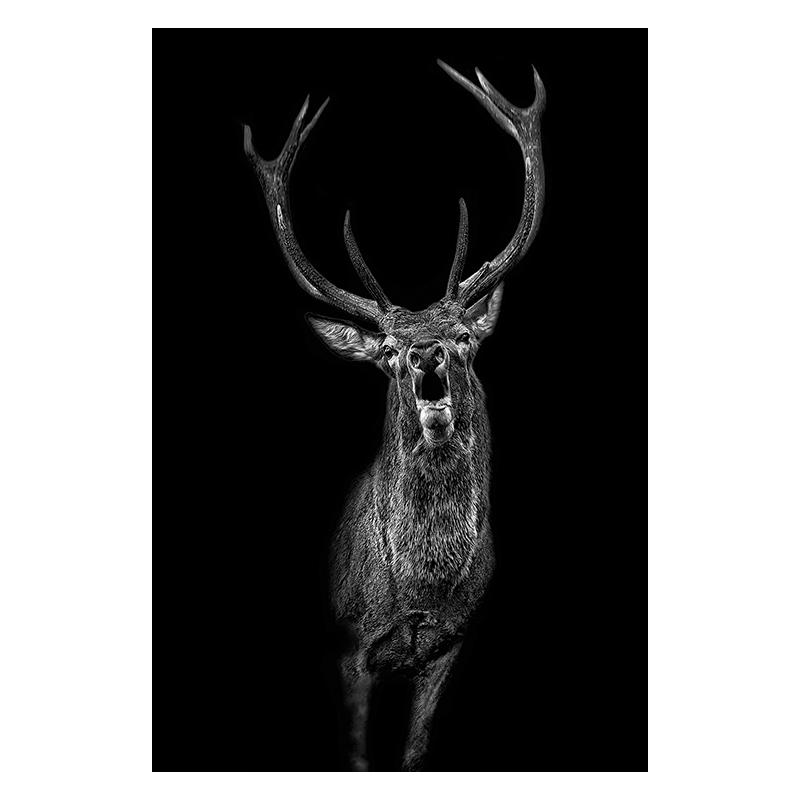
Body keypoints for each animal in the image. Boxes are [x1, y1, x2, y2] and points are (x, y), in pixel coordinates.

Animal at [243, 59, 545, 771]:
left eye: (463, 336)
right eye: (386, 352)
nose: (426, 353)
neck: (418, 591)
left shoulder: (450, 647)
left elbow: (414, 755)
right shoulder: (347, 651)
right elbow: (356, 757)